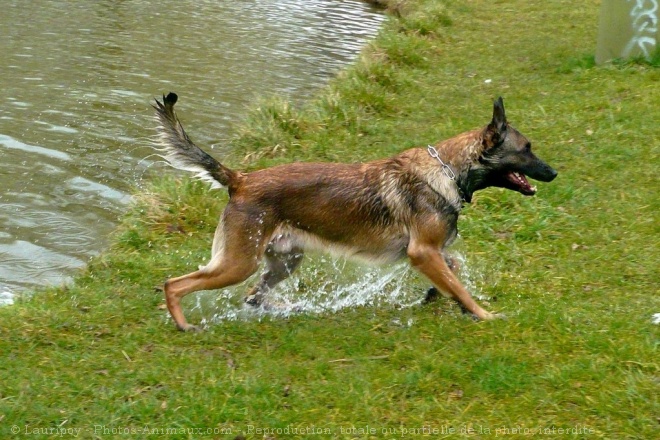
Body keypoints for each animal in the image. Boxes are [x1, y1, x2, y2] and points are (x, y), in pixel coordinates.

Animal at [152, 94, 556, 332]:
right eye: (527, 148)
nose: (553, 173)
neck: (447, 170)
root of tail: (240, 179)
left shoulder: (431, 253)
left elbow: (452, 272)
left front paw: (437, 296)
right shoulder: (423, 252)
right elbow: (460, 285)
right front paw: (482, 314)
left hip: (284, 261)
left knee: (253, 295)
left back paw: (288, 307)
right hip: (239, 262)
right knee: (175, 284)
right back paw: (184, 325)